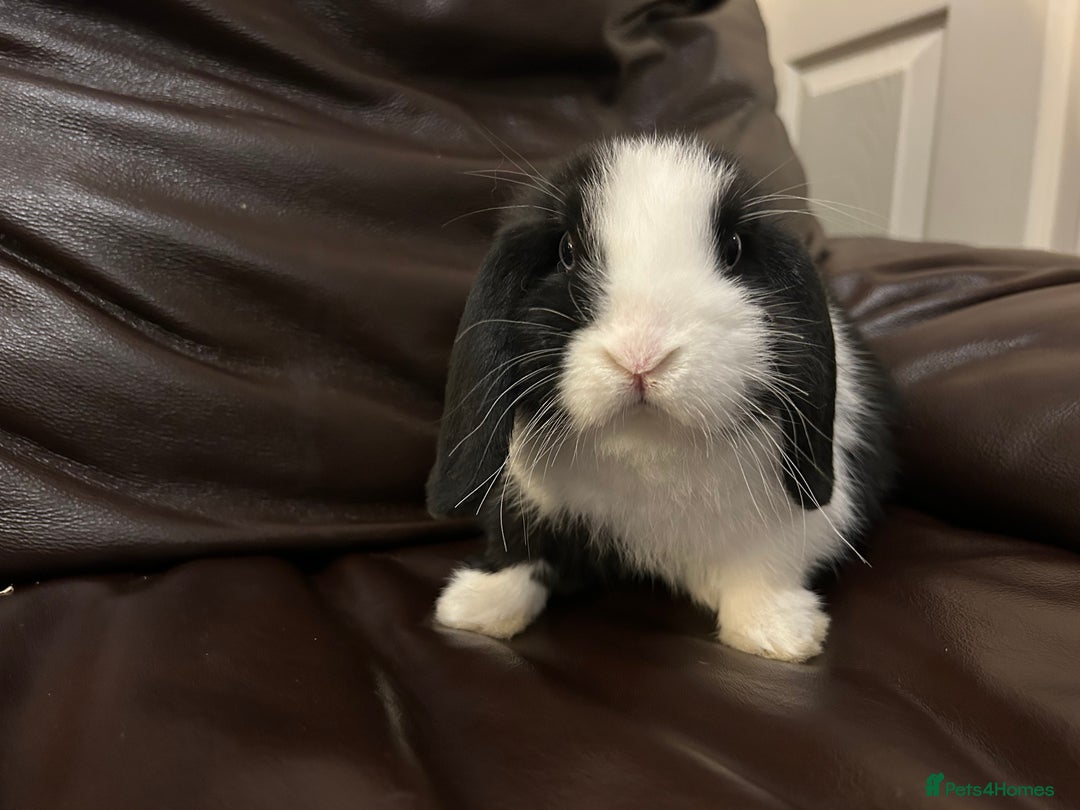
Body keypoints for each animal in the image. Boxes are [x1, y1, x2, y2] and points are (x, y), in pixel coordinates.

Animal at [427, 134, 896, 662]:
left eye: (733, 250)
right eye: (566, 251)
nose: (642, 355)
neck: (649, 446)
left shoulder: (794, 528)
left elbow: (764, 568)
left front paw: (777, 633)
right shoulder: (527, 501)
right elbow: (518, 548)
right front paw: (475, 607)